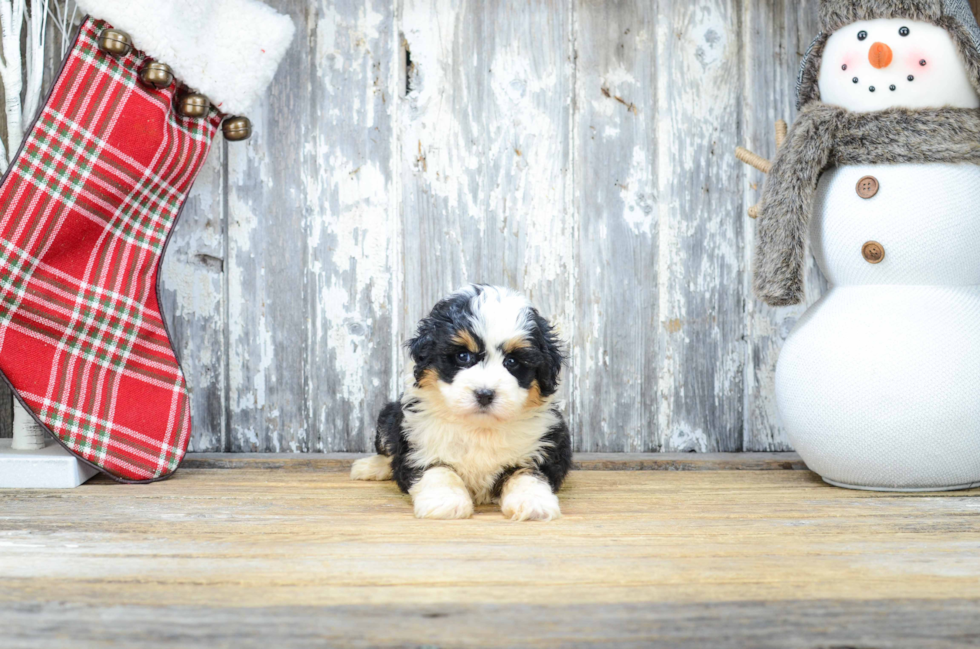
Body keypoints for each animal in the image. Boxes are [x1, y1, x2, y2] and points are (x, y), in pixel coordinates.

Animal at [350, 286, 572, 520]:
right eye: (463, 356)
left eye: (512, 361)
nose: (484, 394)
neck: (480, 427)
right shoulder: (418, 445)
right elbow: (438, 470)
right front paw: (445, 502)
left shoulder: (544, 448)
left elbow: (526, 474)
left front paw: (533, 502)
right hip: (387, 418)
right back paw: (368, 467)